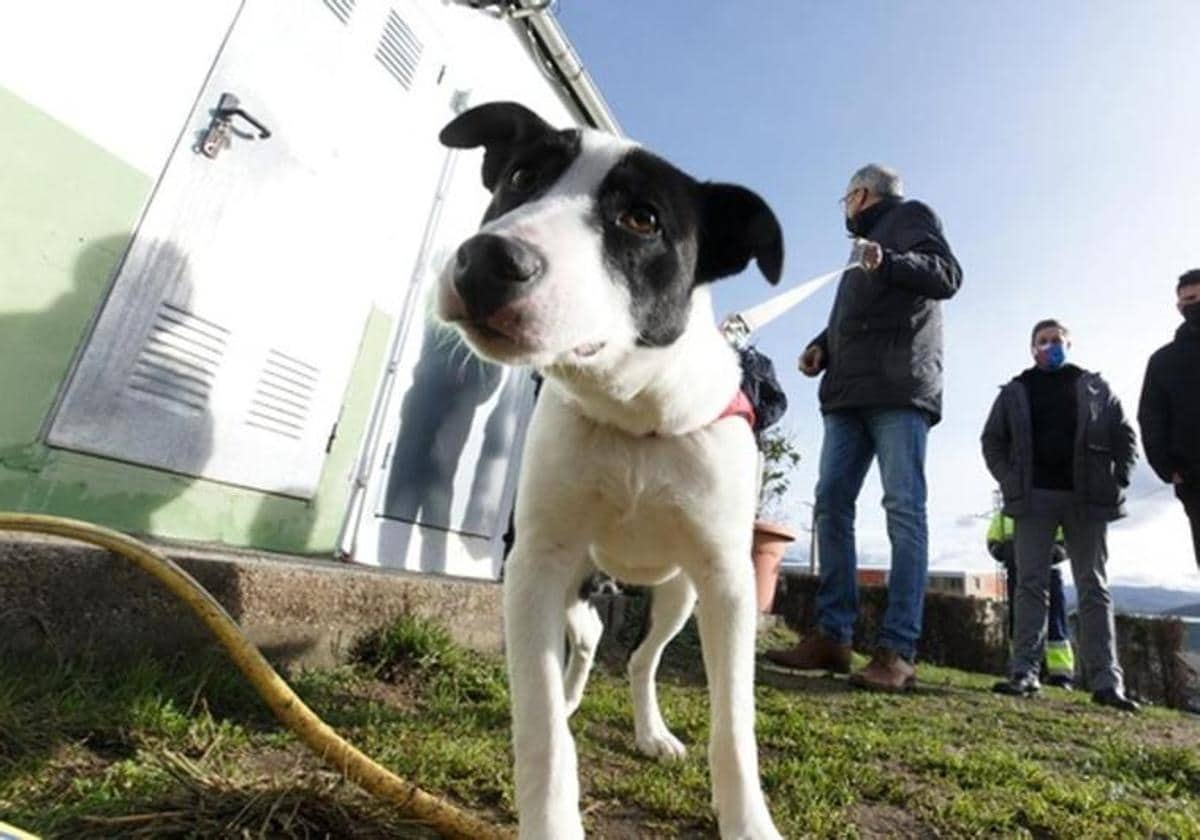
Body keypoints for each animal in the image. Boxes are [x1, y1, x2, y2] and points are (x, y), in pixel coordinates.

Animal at [436, 103, 782, 840]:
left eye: (642, 219)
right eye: (520, 177)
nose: (486, 261)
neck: (633, 414)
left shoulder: (728, 582)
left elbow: (734, 726)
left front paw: (747, 820)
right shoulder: (535, 566)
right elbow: (540, 727)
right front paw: (552, 813)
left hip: (678, 594)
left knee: (642, 659)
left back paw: (652, 733)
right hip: (577, 583)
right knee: (590, 645)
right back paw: (573, 699)